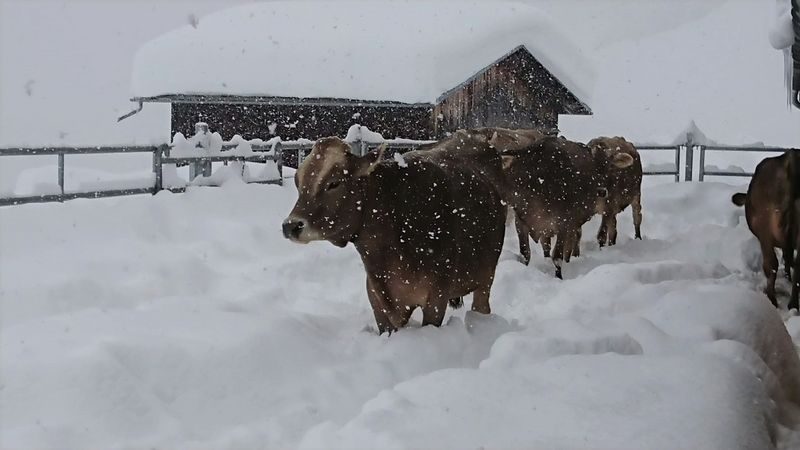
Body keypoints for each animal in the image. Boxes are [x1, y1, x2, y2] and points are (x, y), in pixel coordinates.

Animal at [282, 133, 507, 334]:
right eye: (298, 181)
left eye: (334, 183)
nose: (290, 225)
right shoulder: (376, 299)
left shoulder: (436, 297)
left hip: (486, 277)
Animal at [500, 136, 634, 279]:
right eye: (589, 166)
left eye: (609, 168)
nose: (602, 191)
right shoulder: (520, 222)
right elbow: (525, 254)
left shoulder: (564, 224)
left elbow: (557, 257)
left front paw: (558, 277)